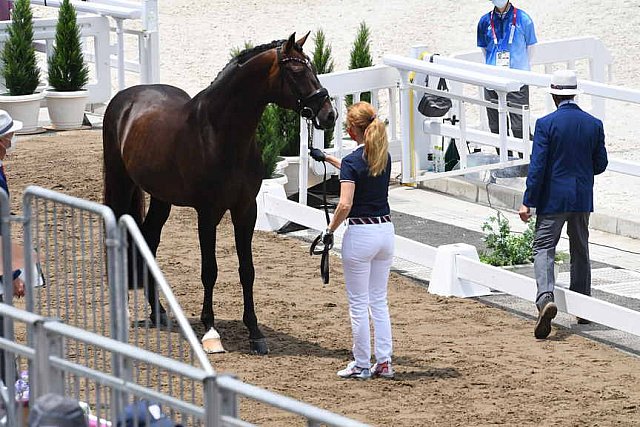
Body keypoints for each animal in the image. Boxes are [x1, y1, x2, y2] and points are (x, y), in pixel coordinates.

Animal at [101, 32, 336, 354]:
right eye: (298, 71)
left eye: (311, 67)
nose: (329, 115)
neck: (220, 134)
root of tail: (125, 97)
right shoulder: (208, 213)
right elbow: (209, 270)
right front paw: (211, 331)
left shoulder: (245, 210)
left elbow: (247, 270)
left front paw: (255, 332)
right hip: (121, 184)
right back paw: (124, 309)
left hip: (162, 197)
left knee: (149, 239)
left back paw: (158, 312)